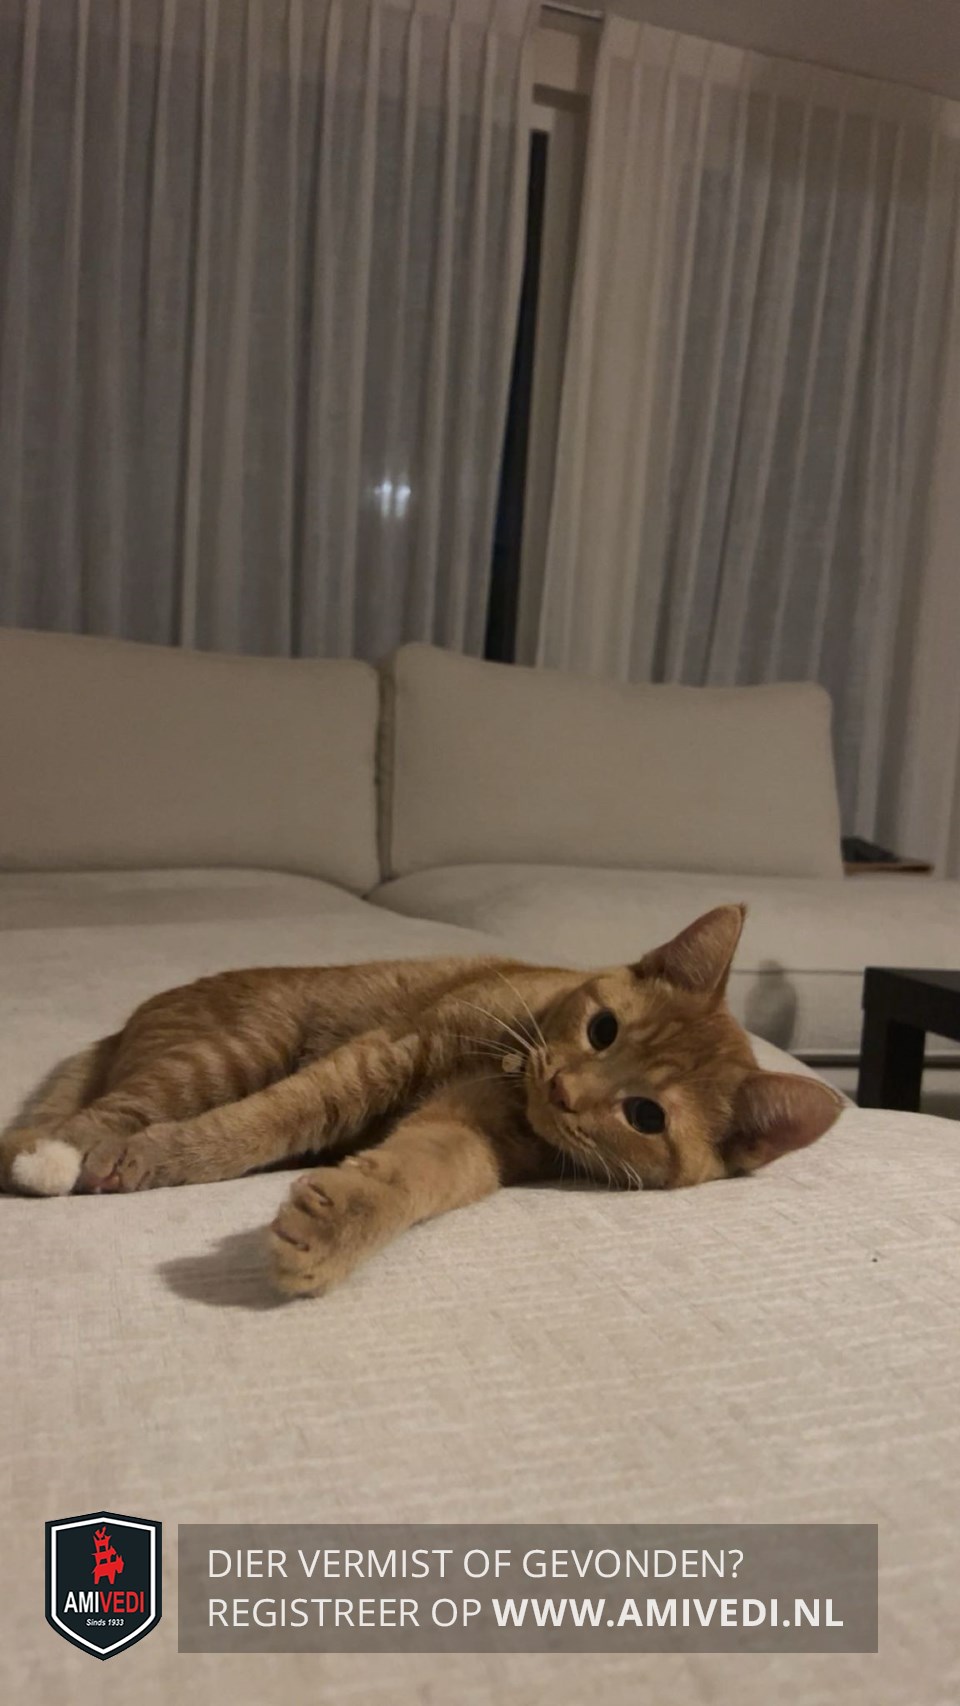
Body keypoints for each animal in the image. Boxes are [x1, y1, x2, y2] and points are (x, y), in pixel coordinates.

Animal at [0, 905, 842, 1297]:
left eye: (646, 1116)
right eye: (603, 1029)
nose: (564, 1089)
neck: (513, 1063)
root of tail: (122, 1025)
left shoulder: (467, 1137)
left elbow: (413, 1177)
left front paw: (333, 1226)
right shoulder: (382, 1054)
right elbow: (263, 1121)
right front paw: (167, 1155)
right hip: (224, 1053)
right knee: (95, 1116)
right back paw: (60, 1156)